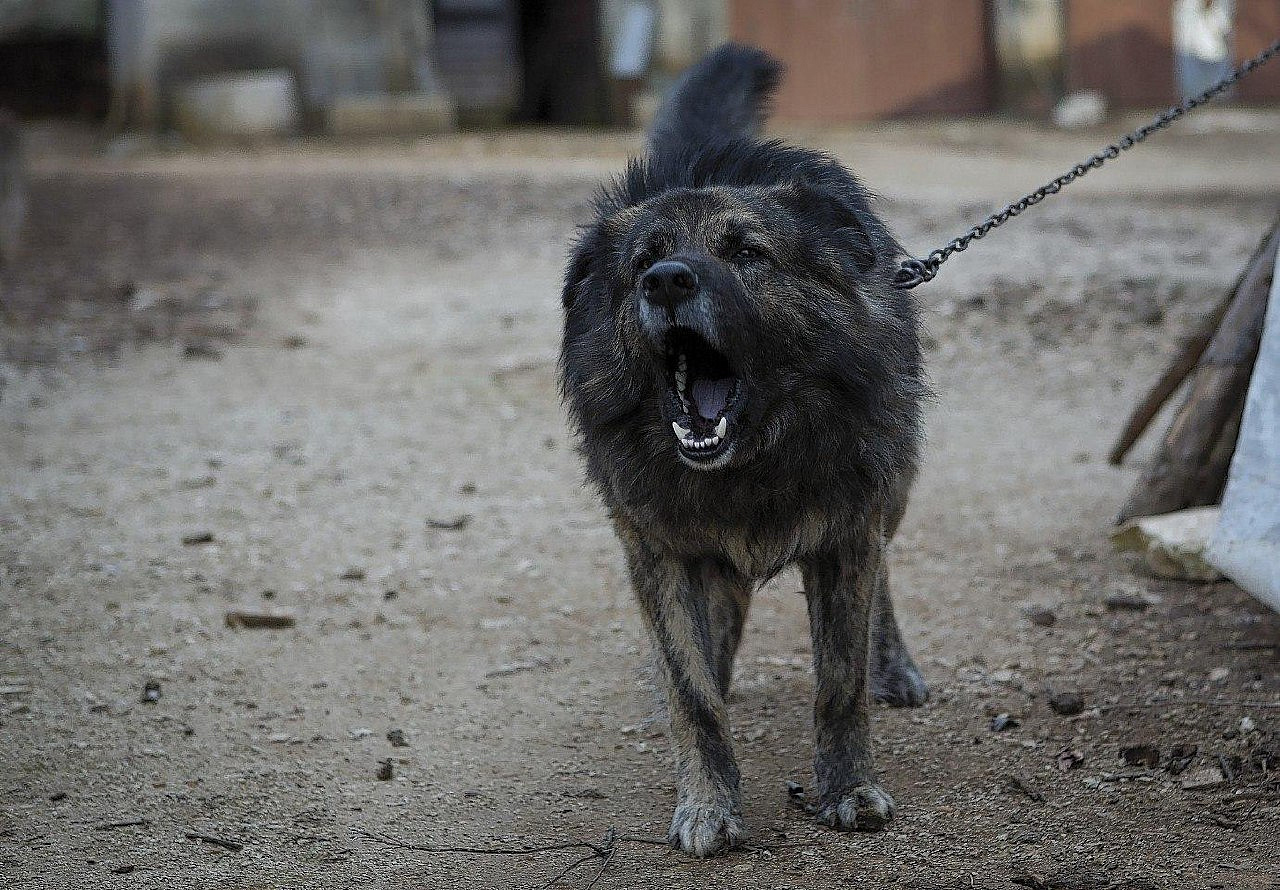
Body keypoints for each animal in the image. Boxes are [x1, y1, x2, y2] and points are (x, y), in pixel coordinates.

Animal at [555, 45, 926, 860]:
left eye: (746, 252)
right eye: (645, 260)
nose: (666, 282)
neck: (750, 462)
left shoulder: (848, 533)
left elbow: (839, 683)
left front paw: (848, 788)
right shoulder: (659, 548)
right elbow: (691, 692)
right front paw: (708, 801)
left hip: (894, 486)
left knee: (885, 576)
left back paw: (894, 663)